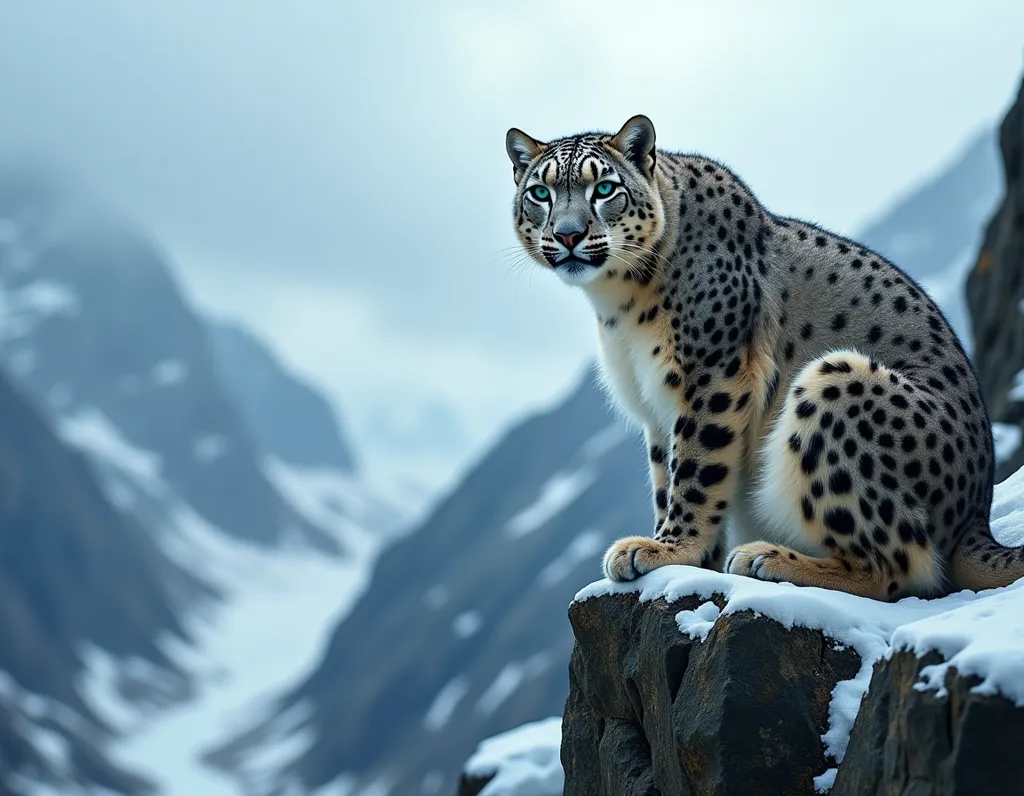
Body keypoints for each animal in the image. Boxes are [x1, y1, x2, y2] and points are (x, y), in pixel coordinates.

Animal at [504, 114, 1023, 600]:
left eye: (605, 188)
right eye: (540, 193)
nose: (568, 235)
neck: (617, 307)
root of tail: (975, 515)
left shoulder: (711, 373)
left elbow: (695, 469)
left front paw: (668, 549)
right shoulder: (654, 409)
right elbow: (664, 477)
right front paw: (687, 556)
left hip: (836, 386)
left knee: (896, 567)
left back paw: (766, 559)